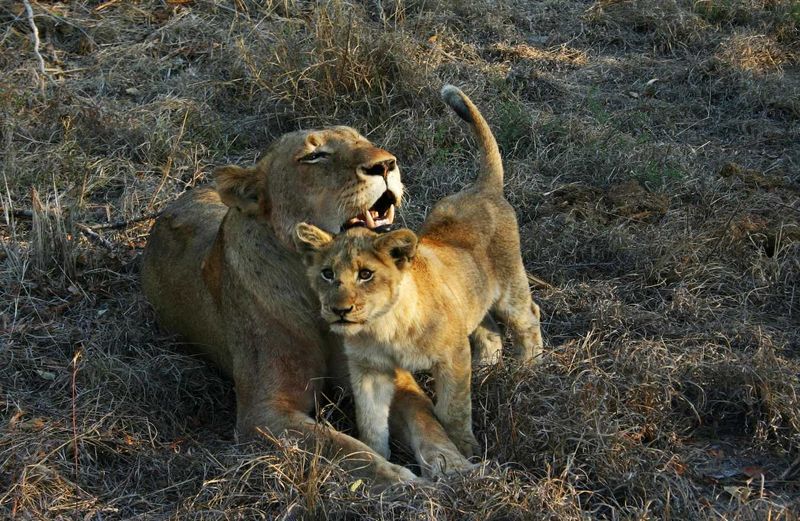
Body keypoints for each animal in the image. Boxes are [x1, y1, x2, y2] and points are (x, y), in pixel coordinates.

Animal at [141, 125, 479, 484]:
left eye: (362, 140)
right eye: (314, 156)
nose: (386, 164)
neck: (321, 289)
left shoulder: (389, 371)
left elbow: (425, 419)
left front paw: (455, 467)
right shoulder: (264, 411)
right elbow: (342, 446)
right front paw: (404, 481)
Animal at [294, 85, 544, 460]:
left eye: (366, 274)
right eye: (327, 274)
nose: (340, 310)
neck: (383, 326)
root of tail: (482, 188)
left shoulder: (452, 356)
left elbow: (453, 410)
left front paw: (466, 450)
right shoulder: (368, 371)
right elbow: (370, 422)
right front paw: (377, 456)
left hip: (510, 287)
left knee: (528, 317)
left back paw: (529, 369)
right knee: (488, 329)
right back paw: (486, 369)